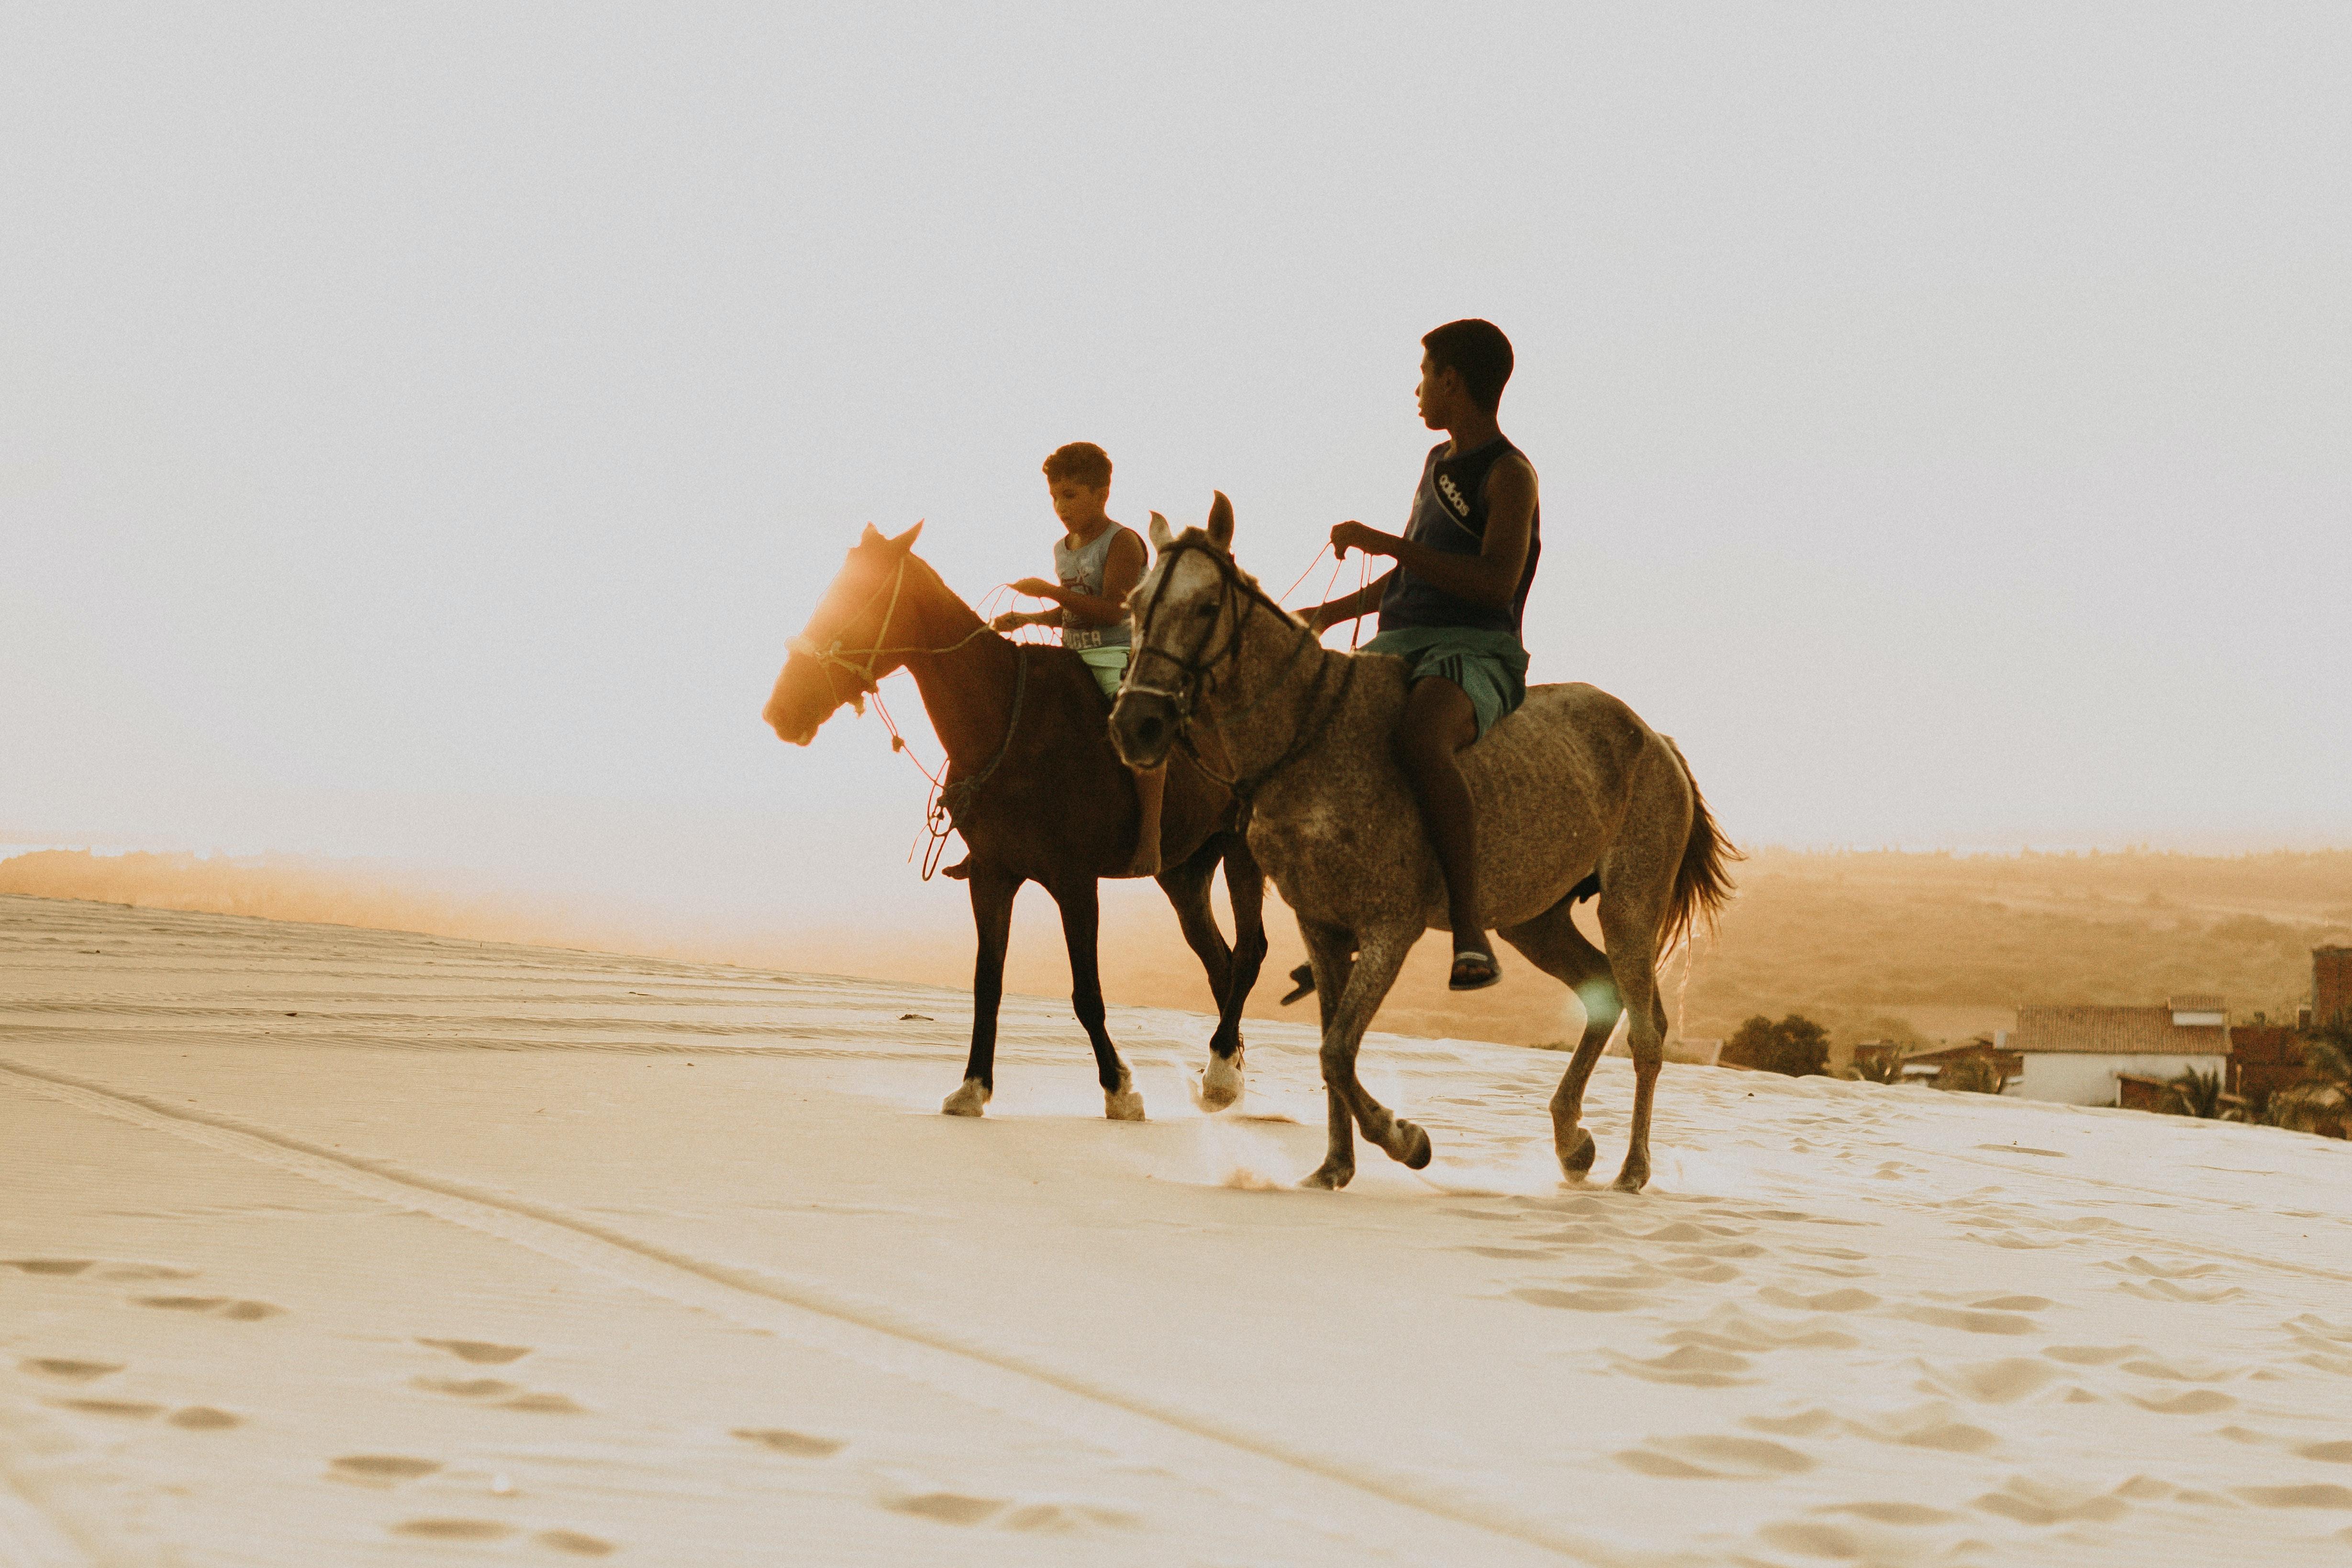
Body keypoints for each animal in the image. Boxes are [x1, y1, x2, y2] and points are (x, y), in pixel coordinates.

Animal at [762, 524, 1270, 1114]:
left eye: (854, 603)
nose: (780, 711)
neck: (1005, 718)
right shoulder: (991, 873)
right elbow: (988, 982)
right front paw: (973, 1085)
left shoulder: (1074, 881)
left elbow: (1086, 994)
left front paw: (1119, 1088)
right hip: (1184, 869)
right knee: (1219, 959)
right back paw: (1227, 1067)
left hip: (1241, 845)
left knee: (1249, 952)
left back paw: (1220, 1072)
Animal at [1110, 496, 1740, 1194]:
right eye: (1136, 604)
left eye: (1204, 607)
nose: (1136, 724)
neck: (1308, 738)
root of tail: (1656, 740)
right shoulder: (1320, 924)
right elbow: (1332, 1050)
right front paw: (1334, 1166)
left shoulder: (1391, 925)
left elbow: (1337, 1050)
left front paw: (1405, 1140)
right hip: (1534, 919)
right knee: (1599, 990)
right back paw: (1571, 1141)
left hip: (1630, 902)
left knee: (1647, 1027)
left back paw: (1631, 1170)